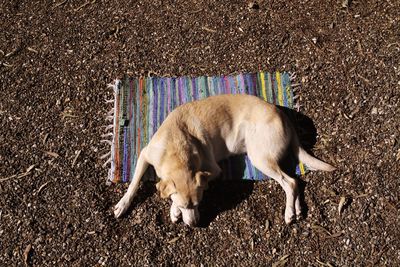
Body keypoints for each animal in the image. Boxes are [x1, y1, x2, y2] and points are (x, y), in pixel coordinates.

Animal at [114, 94, 336, 226]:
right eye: (189, 206)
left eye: (199, 203)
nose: (195, 224)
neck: (176, 149)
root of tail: (283, 115)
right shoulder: (144, 155)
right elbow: (133, 184)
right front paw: (123, 204)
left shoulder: (213, 170)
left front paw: (174, 210)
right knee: (296, 181)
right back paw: (297, 209)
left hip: (260, 157)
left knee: (289, 182)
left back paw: (289, 212)